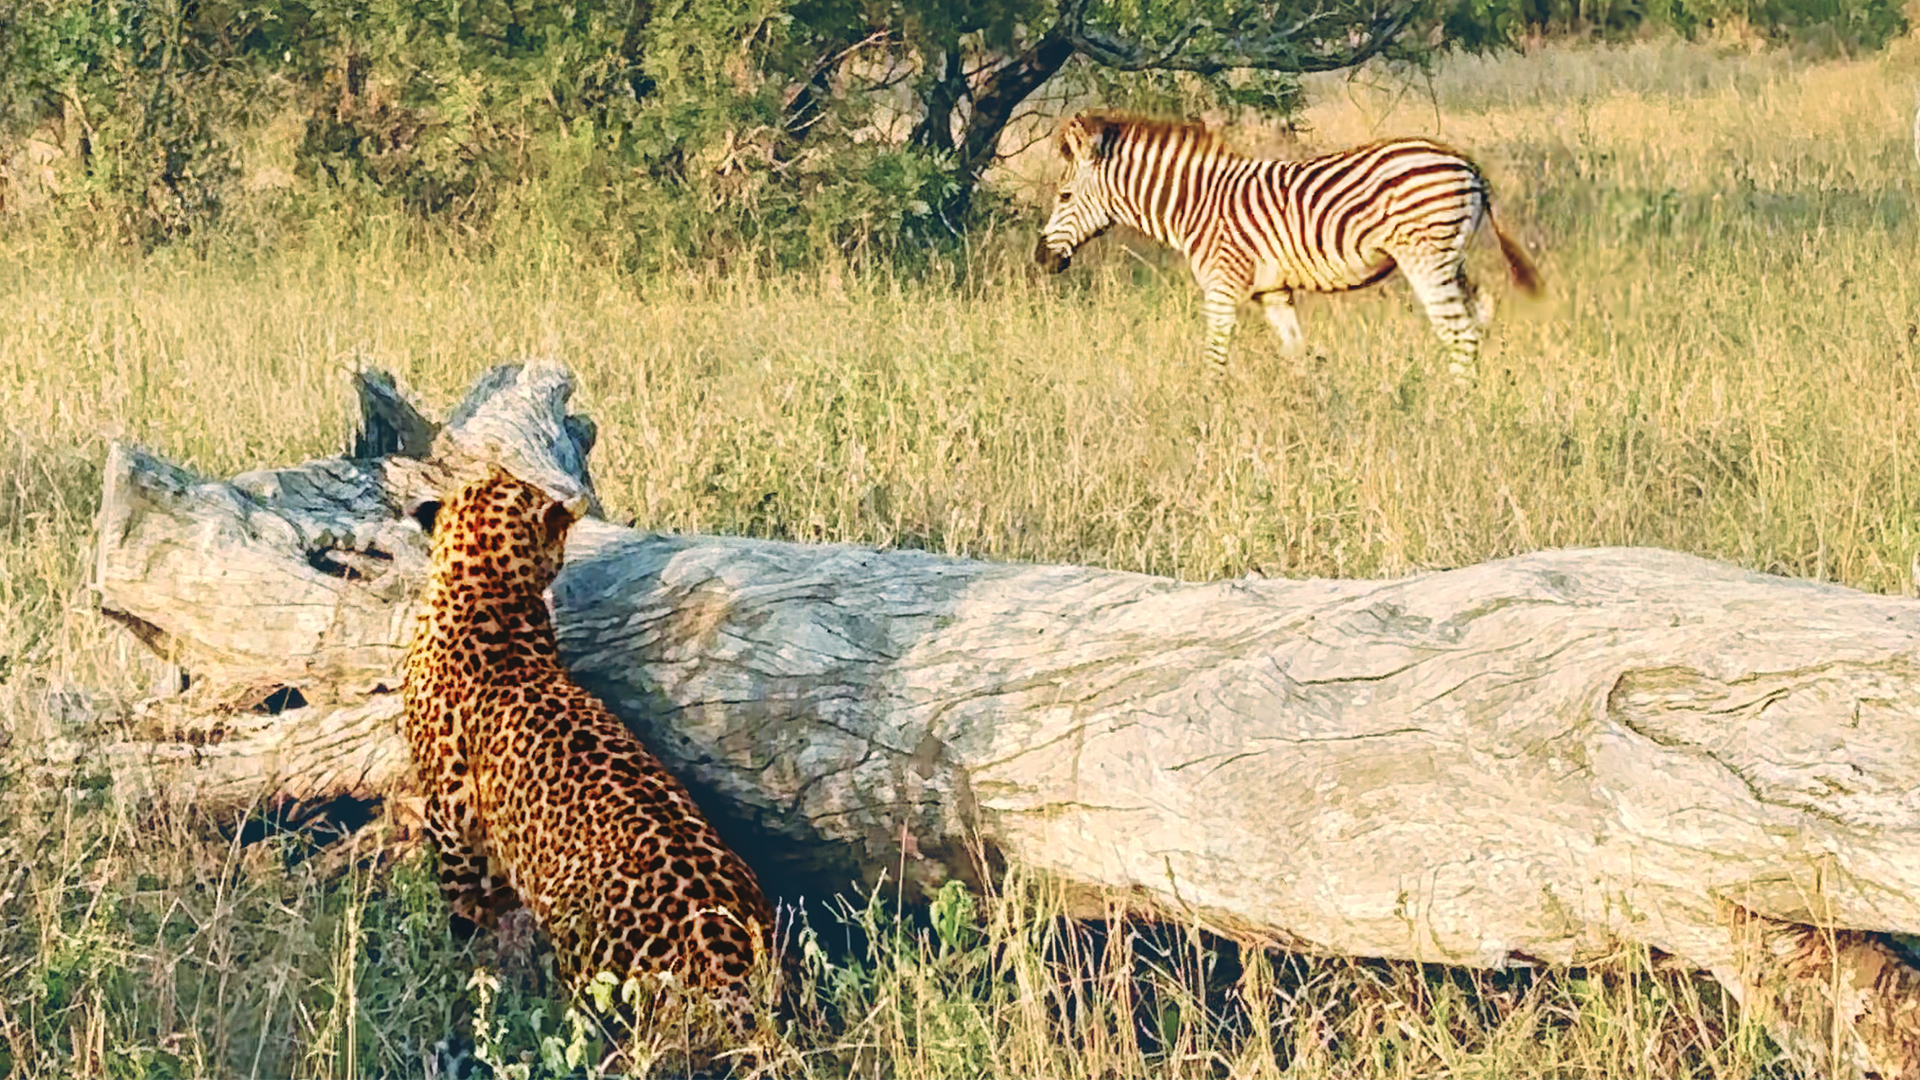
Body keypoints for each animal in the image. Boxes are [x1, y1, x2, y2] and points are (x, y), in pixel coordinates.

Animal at [1036, 111, 1543, 376]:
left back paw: (1452, 410)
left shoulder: (1222, 285)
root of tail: (1467, 164)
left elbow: (1214, 357)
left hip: (1426, 259)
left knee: (1458, 332)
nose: (1040, 258)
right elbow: (1297, 353)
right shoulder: (1273, 291)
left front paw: (1208, 416)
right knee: (1479, 315)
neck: (1195, 205)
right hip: (1450, 259)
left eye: (1064, 196)